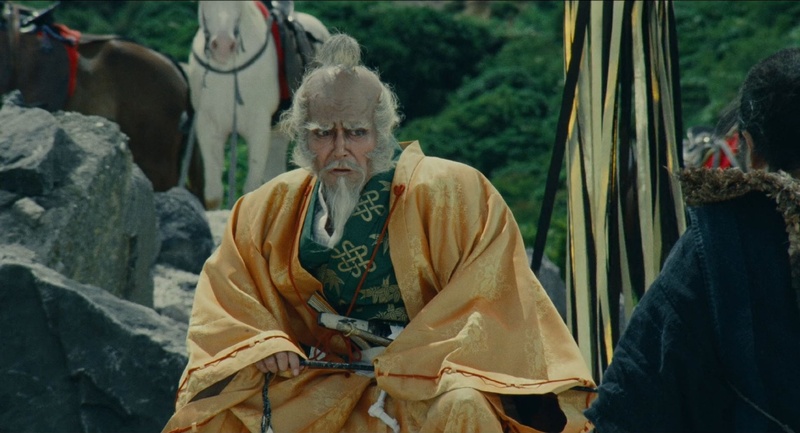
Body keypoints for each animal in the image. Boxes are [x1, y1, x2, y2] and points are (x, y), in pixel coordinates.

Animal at [189, 0, 329, 209]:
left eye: (239, 5)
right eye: (203, 3)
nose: (223, 46)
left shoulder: (258, 129)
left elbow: (250, 190)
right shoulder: (207, 128)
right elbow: (212, 195)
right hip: (277, 135)